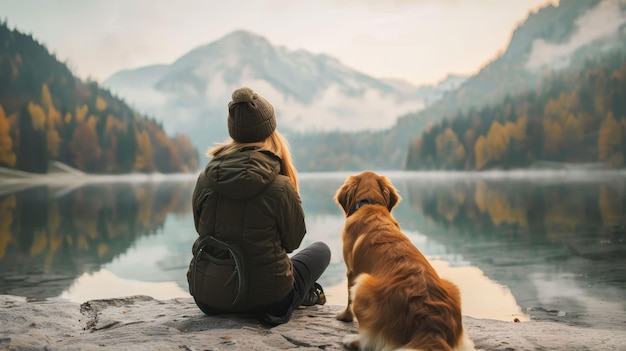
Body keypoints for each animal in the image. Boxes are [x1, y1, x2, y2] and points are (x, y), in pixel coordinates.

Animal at [334, 172, 470, 350]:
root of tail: (432, 327)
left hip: (363, 284)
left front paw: (344, 316)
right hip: (451, 287)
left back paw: (351, 340)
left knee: (369, 340)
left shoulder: (352, 271)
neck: (370, 204)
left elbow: (348, 299)